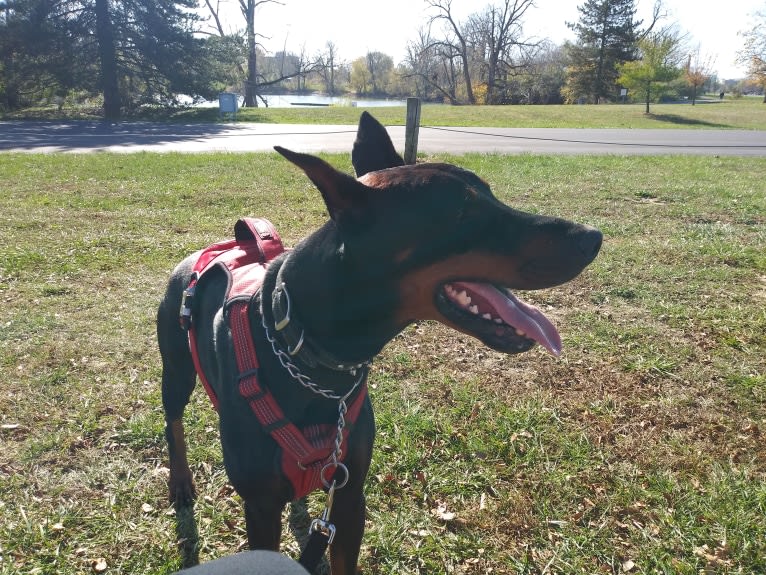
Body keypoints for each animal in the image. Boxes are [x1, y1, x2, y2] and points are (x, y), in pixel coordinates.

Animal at [159, 110, 604, 572]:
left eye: (490, 195)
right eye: (463, 213)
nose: (594, 237)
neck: (313, 359)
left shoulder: (349, 493)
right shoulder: (261, 508)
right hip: (176, 365)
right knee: (172, 420)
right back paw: (181, 481)